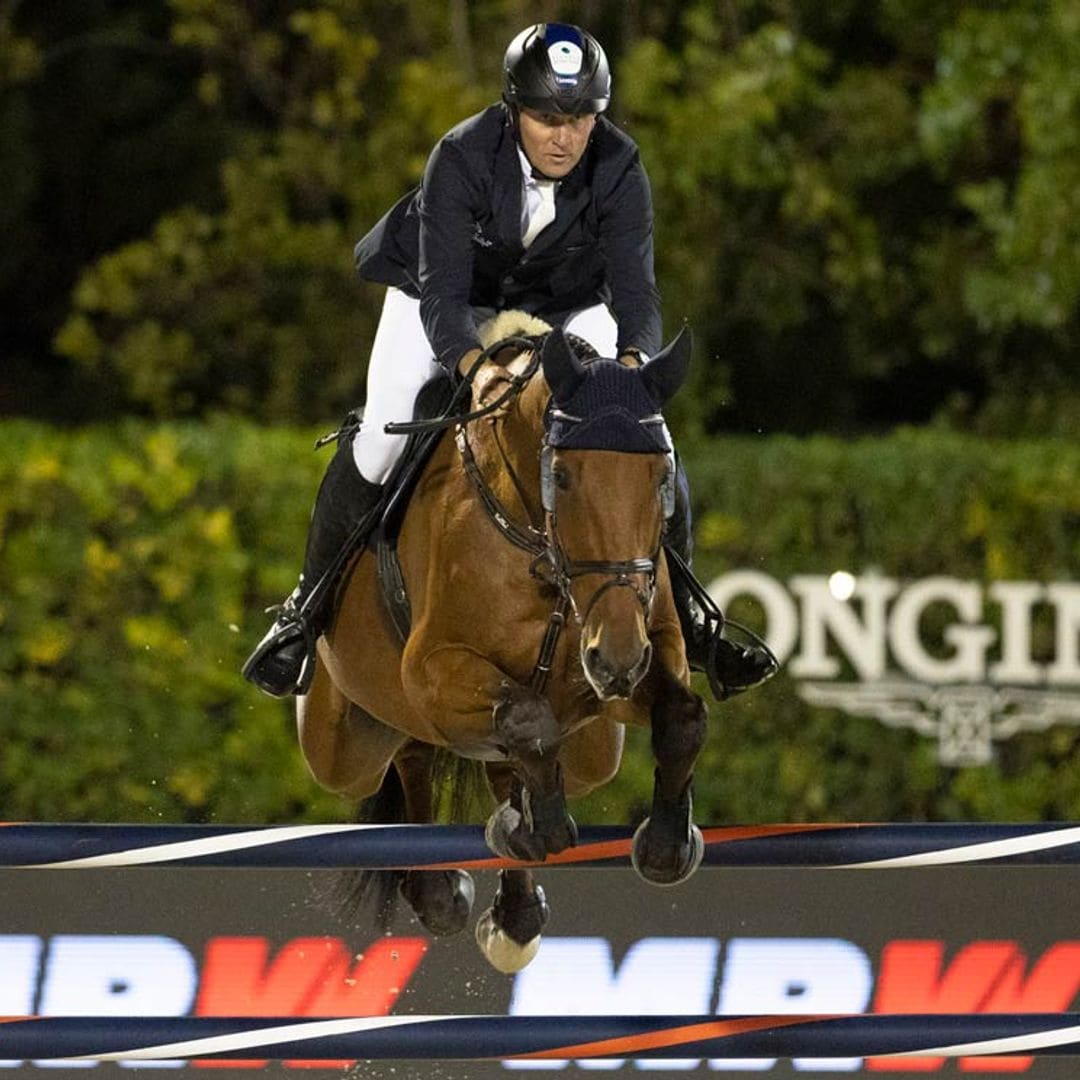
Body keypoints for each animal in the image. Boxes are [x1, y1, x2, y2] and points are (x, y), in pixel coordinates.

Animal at [295, 315, 708, 976]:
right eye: (560, 475)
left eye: (662, 476)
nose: (615, 659)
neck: (538, 544)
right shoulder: (432, 668)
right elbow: (526, 721)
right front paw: (529, 827)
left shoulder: (643, 652)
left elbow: (683, 717)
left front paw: (668, 844)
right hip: (341, 746)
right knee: (412, 751)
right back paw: (445, 891)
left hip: (595, 750)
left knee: (487, 757)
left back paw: (510, 913)